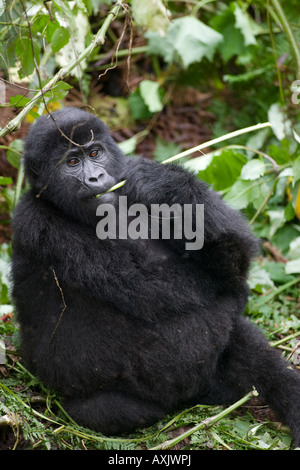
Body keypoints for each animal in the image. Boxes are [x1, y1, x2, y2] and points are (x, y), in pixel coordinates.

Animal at [12, 106, 300, 444]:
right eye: (72, 162)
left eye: (95, 153)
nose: (96, 177)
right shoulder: (38, 224)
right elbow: (166, 290)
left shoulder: (127, 176)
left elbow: (233, 258)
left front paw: (168, 184)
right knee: (104, 410)